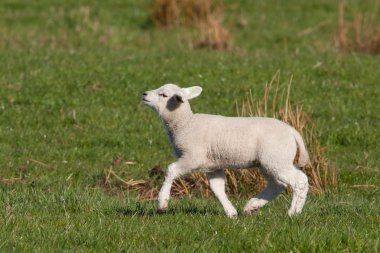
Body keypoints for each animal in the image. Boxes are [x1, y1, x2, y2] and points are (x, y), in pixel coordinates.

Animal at [142, 83, 308, 217]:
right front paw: (231, 212)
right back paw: (252, 206)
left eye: (164, 95)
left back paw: (293, 212)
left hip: (276, 158)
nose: (144, 94)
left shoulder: (192, 157)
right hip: (269, 162)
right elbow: (217, 189)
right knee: (277, 185)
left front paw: (162, 203)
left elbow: (171, 170)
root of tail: (293, 132)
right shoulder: (213, 165)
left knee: (300, 180)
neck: (185, 123)